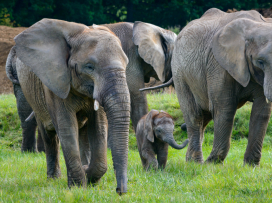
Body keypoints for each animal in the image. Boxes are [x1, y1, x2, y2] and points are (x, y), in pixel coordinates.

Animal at [13, 17, 131, 193]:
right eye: (89, 67)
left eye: (126, 64)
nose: (120, 191)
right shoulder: (55, 81)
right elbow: (67, 126)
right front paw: (77, 187)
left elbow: (99, 126)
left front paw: (90, 177)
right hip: (34, 98)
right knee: (49, 135)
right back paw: (54, 178)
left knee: (82, 132)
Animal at [141, 8, 272, 166]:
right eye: (260, 61)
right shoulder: (218, 65)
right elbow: (224, 109)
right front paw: (212, 163)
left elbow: (261, 112)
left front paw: (250, 166)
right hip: (180, 73)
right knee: (195, 115)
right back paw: (196, 163)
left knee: (205, 115)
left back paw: (191, 160)